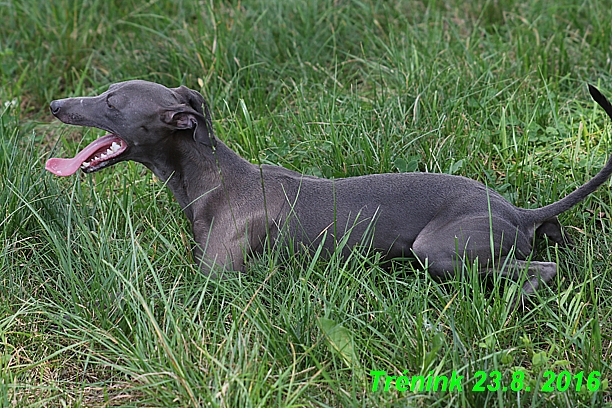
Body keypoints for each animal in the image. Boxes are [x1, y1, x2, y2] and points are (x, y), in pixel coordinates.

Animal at [45, 80, 612, 302]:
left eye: (112, 103)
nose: (55, 105)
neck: (211, 177)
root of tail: (518, 211)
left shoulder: (217, 279)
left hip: (439, 249)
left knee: (542, 269)